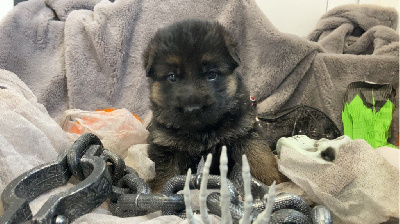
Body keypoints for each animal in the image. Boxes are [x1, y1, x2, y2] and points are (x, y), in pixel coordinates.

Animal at [142, 19, 286, 191]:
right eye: (172, 77)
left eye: (212, 74)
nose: (192, 109)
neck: (201, 132)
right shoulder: (164, 146)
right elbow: (163, 177)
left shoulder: (244, 133)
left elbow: (259, 158)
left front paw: (275, 182)